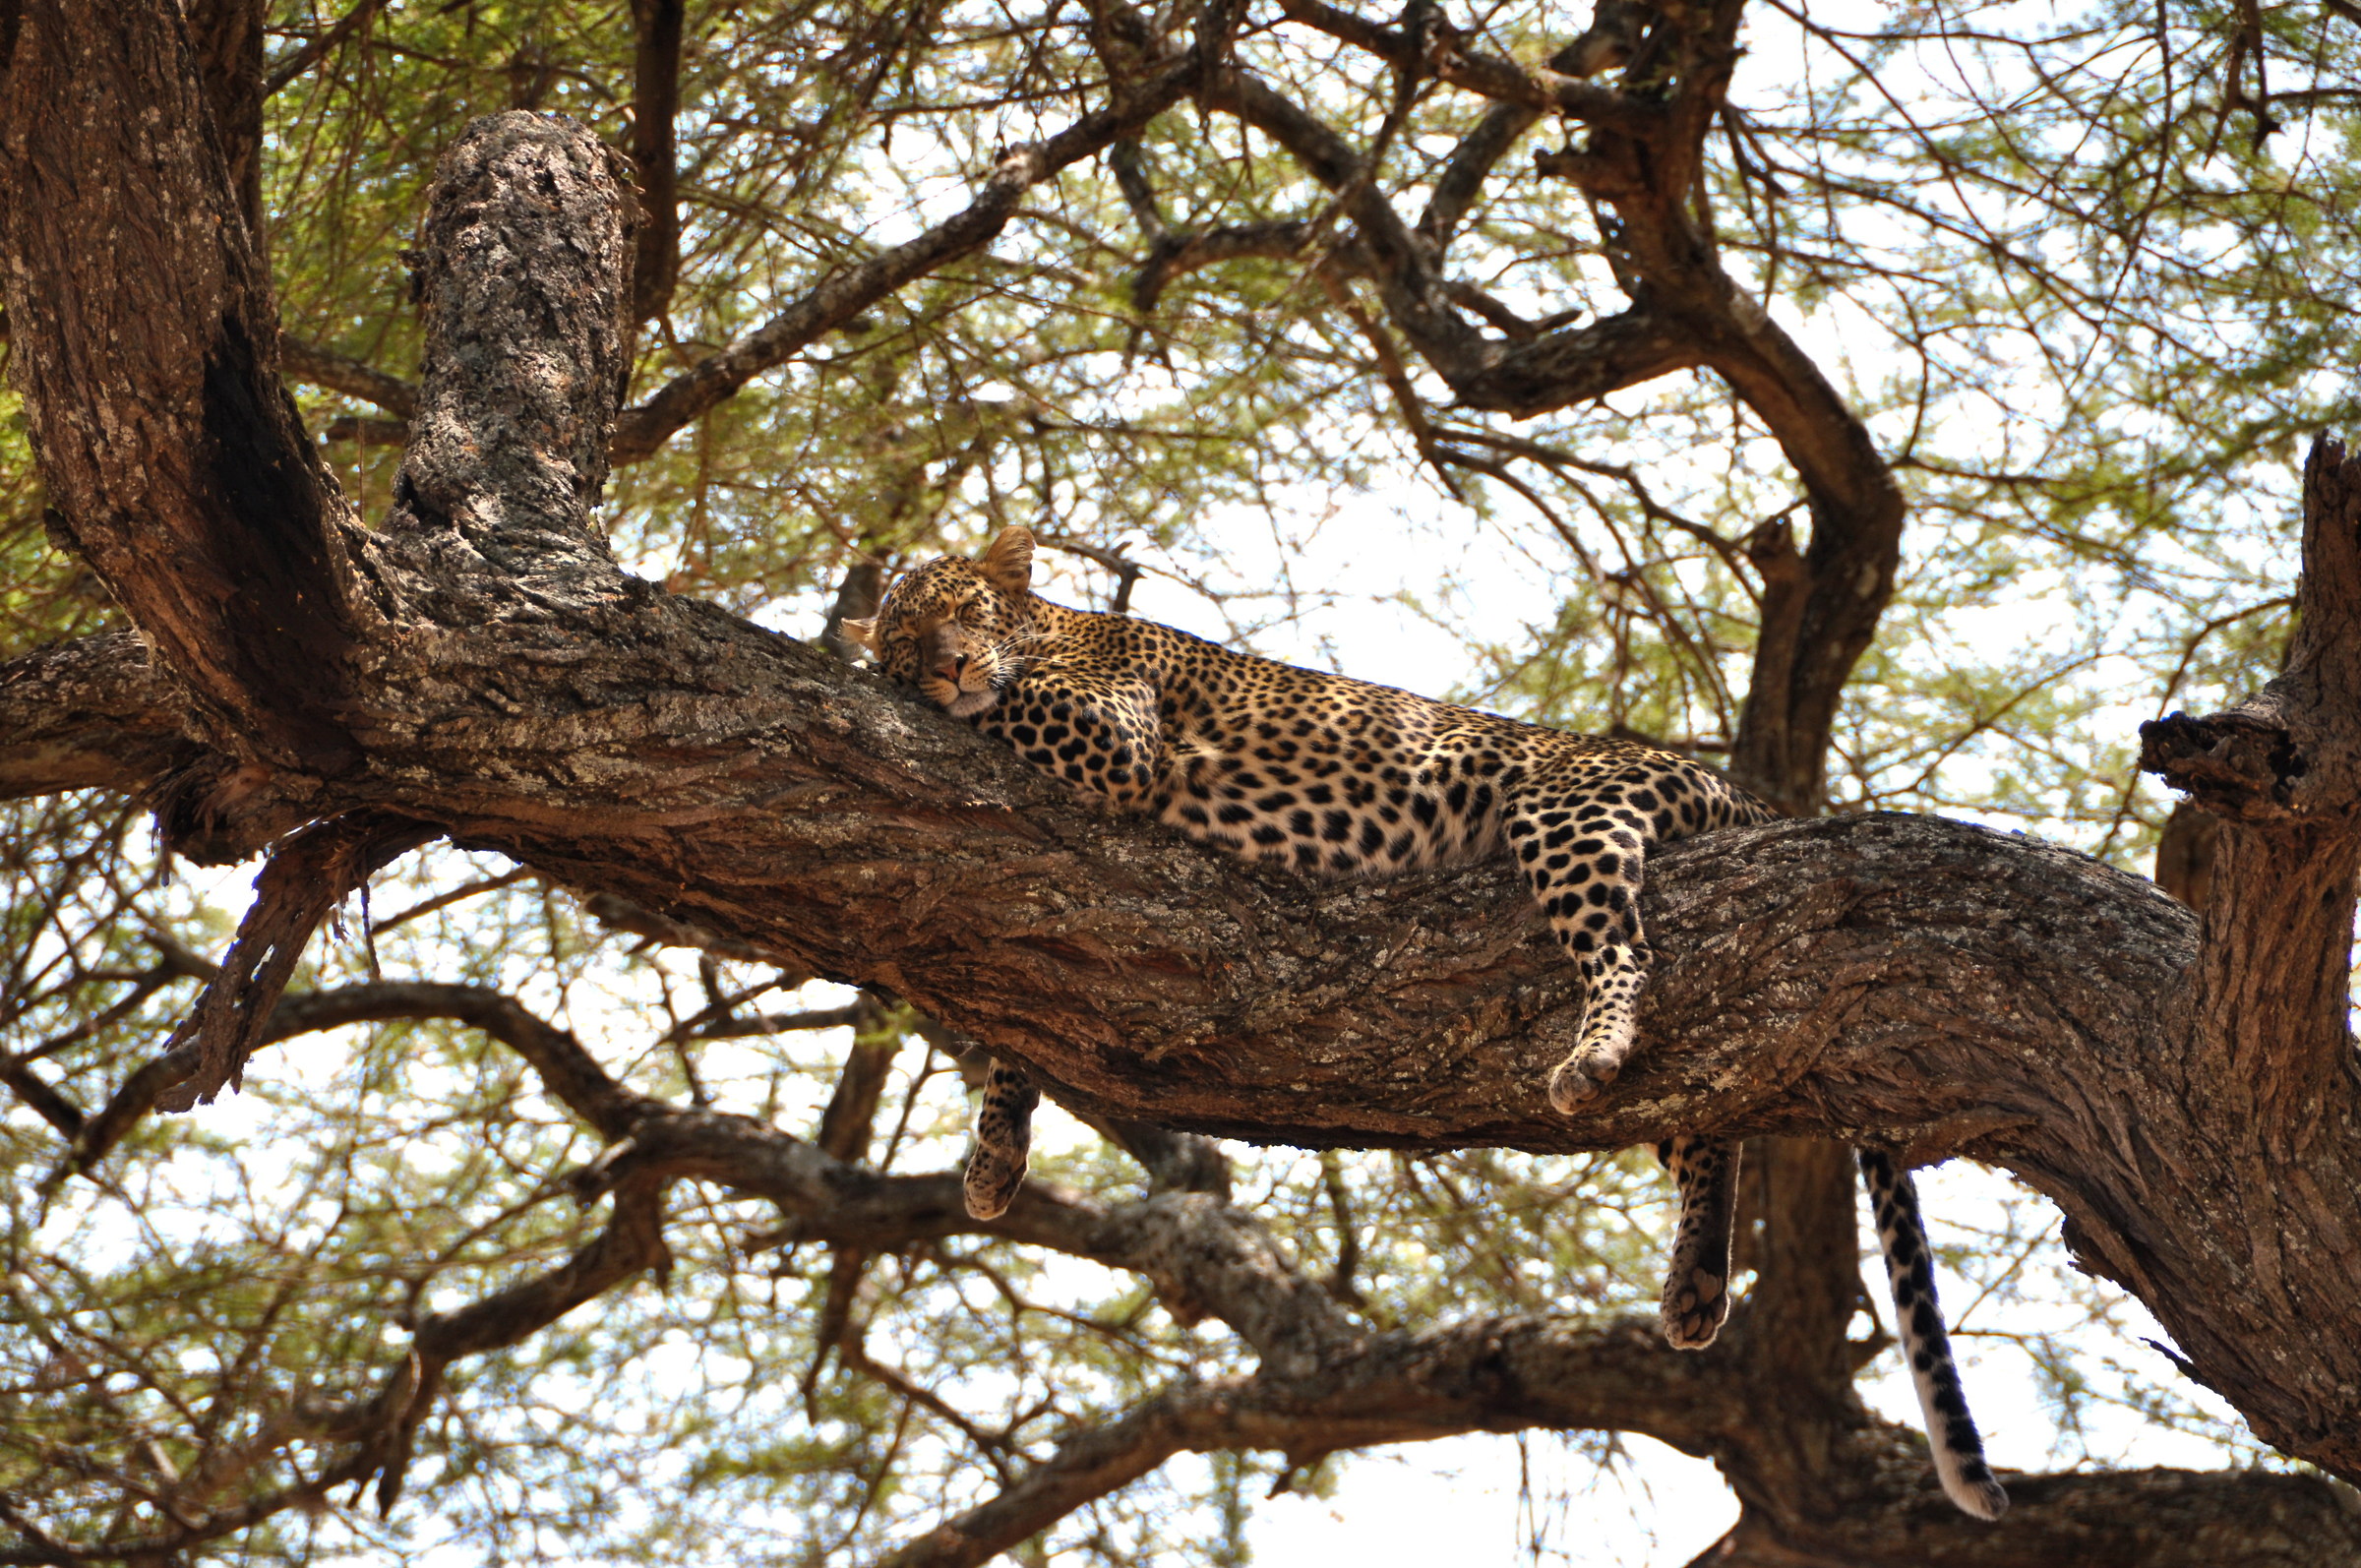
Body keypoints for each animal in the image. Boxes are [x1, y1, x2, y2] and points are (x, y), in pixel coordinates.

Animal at [846, 525, 2008, 1519]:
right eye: (909, 637)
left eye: (962, 612)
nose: (944, 666)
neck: (1052, 623)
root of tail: (1732, 786)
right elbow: (1016, 1017)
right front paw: (994, 1159)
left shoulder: (1114, 734)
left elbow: (1007, 716)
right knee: (1708, 1110)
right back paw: (1694, 1285)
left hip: (1569, 812)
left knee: (1628, 960)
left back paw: (1595, 1053)